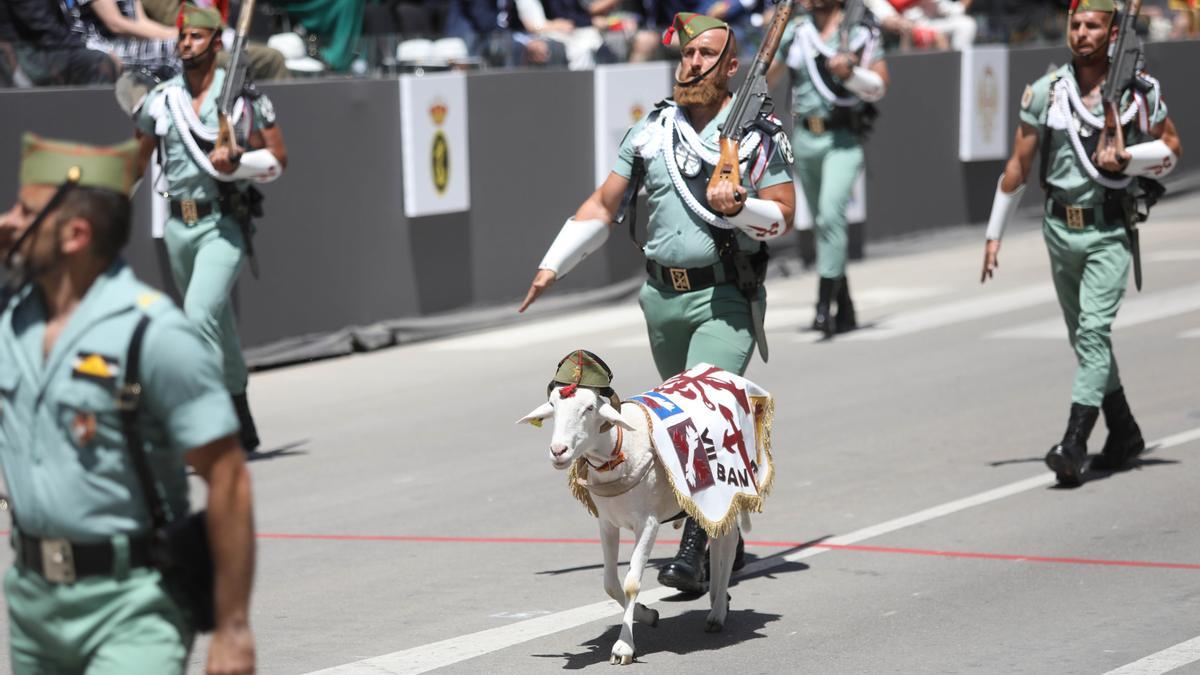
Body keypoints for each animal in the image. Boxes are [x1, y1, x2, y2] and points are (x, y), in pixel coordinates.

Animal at [520, 384, 744, 662]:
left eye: (590, 408)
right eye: (552, 405)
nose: (558, 451)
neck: (619, 451)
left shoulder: (647, 523)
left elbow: (631, 584)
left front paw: (623, 647)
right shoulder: (607, 523)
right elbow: (610, 584)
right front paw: (647, 615)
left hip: (730, 490)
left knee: (728, 542)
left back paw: (718, 612)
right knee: (715, 537)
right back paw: (716, 598)